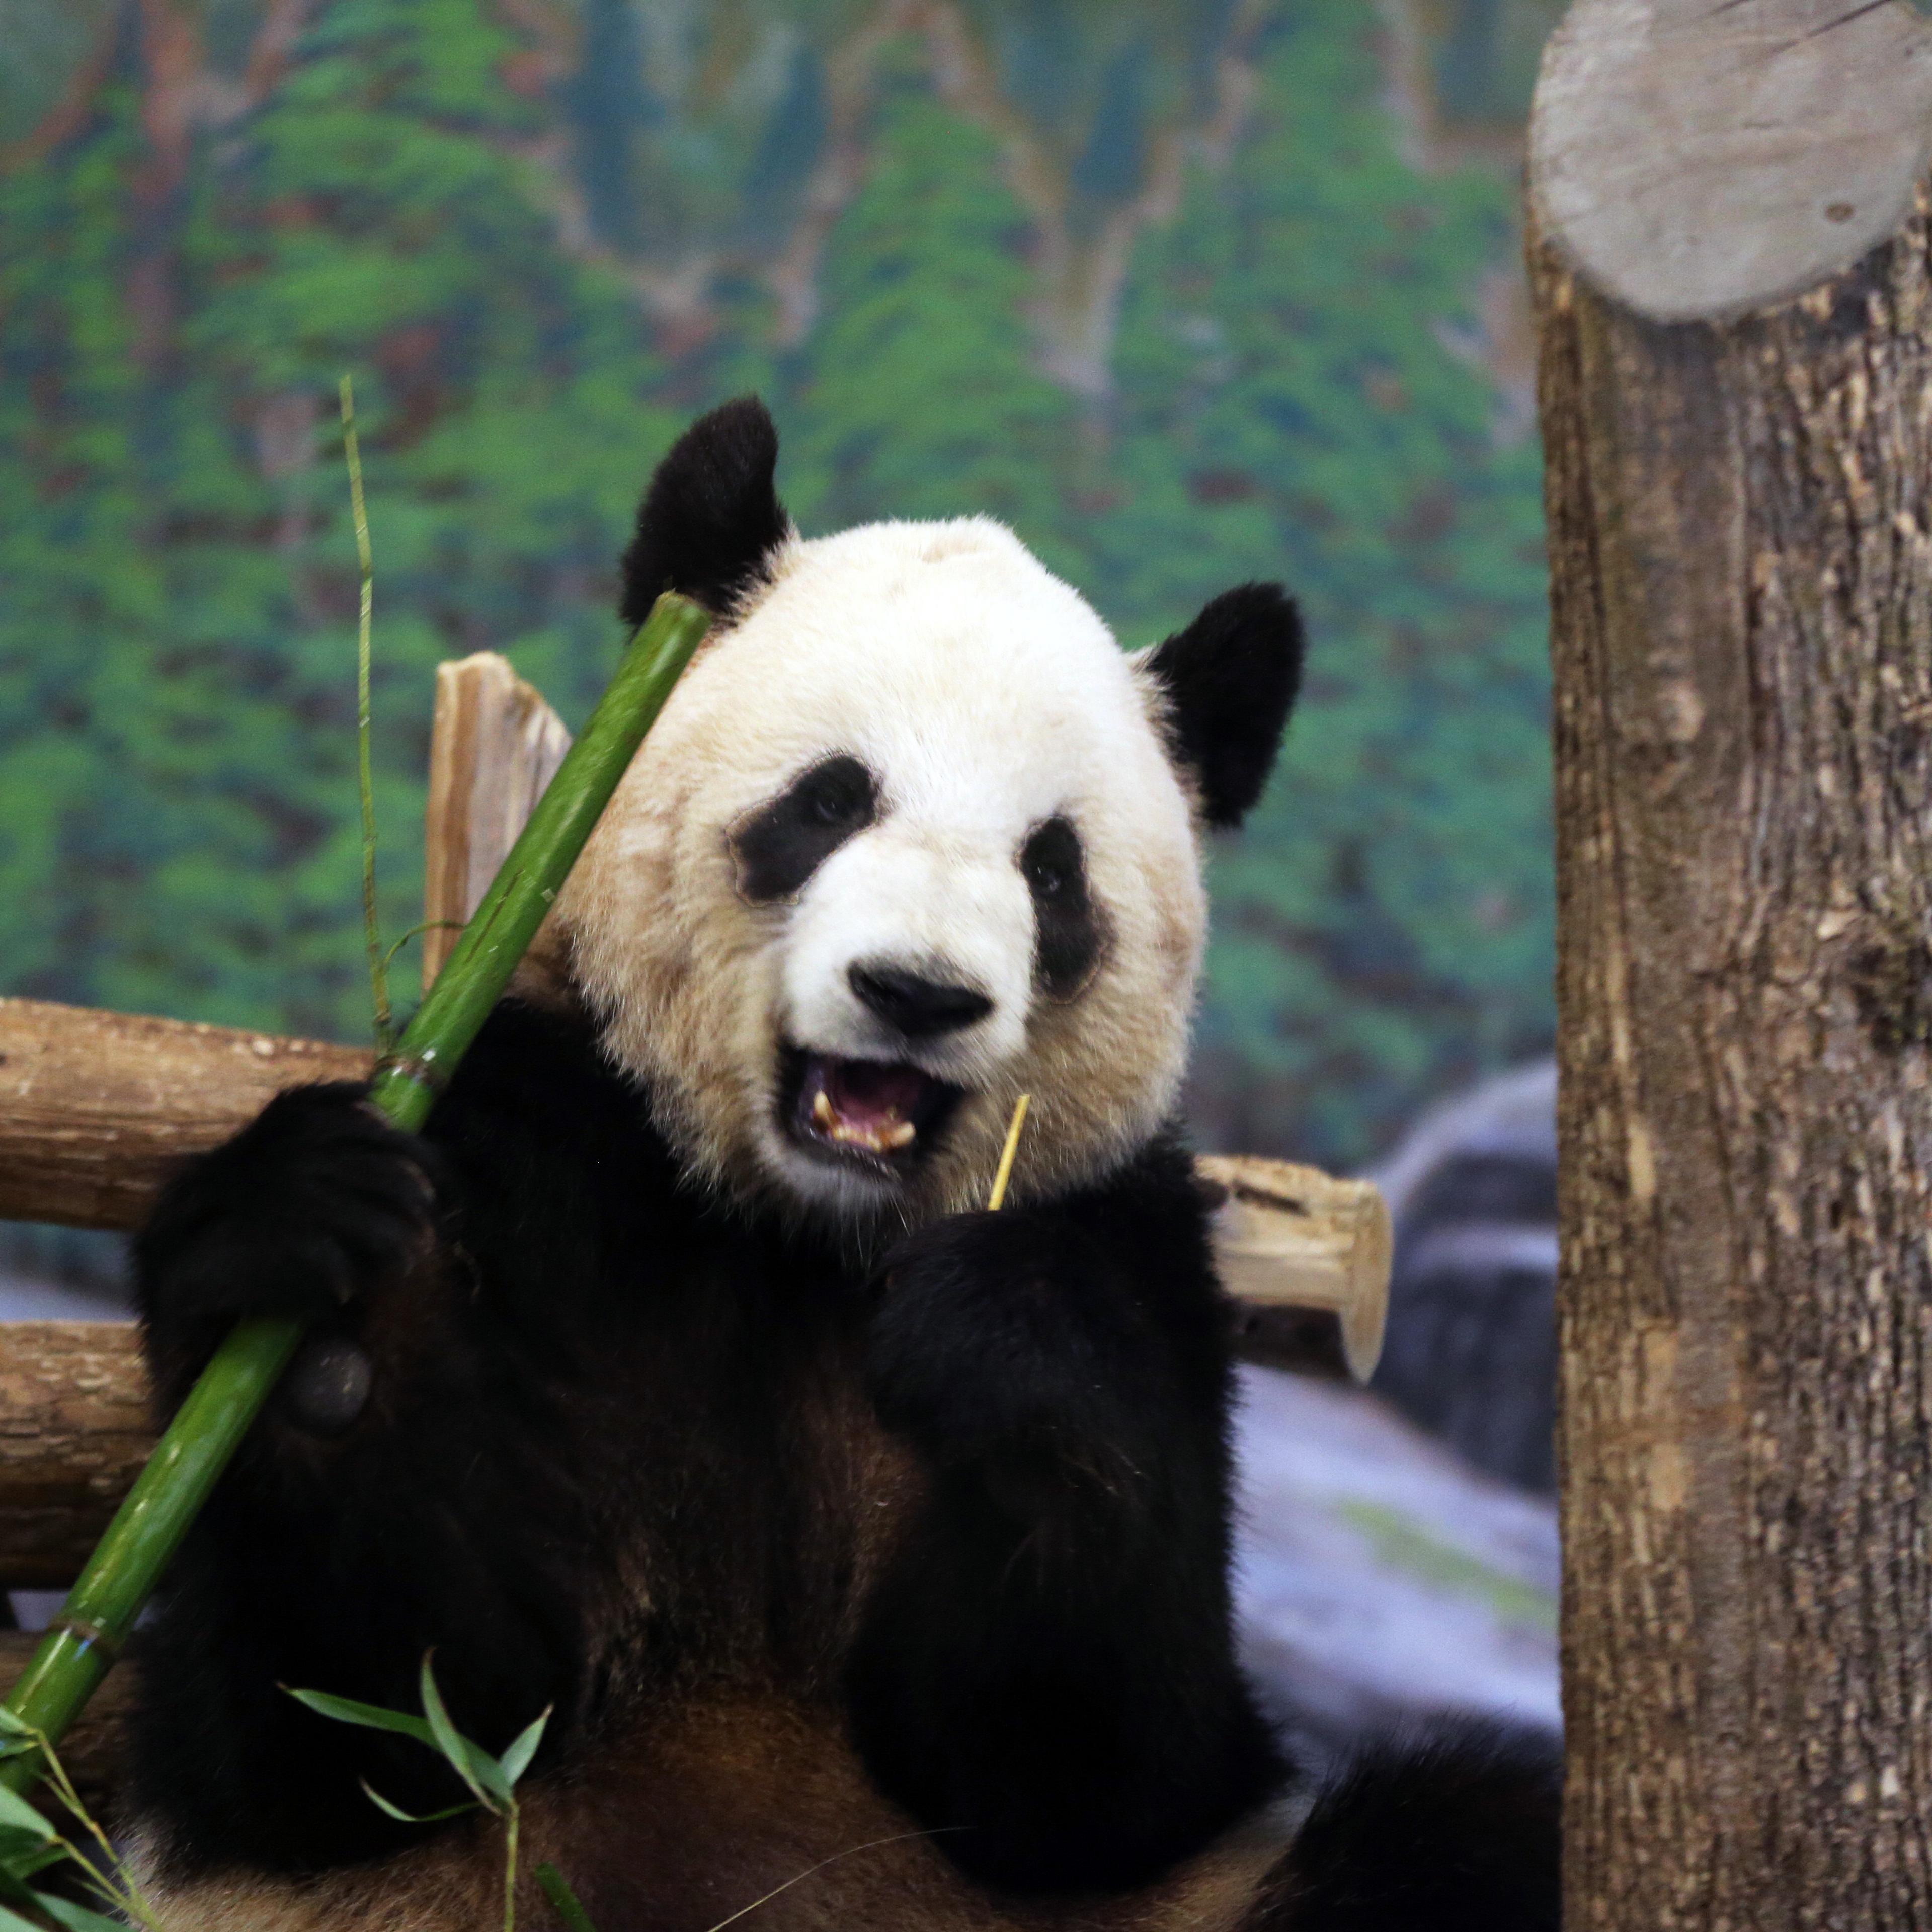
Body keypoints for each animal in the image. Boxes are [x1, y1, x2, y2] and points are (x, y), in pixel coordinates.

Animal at [126, 399, 1559, 1931]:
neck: (795, 1231)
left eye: (1053, 870)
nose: (917, 992)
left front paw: (1005, 1339)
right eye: (828, 801)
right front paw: (322, 1318)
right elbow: (364, 1733)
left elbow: (1107, 1770)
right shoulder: (537, 1148)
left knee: (1465, 1839)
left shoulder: (1143, 1257)